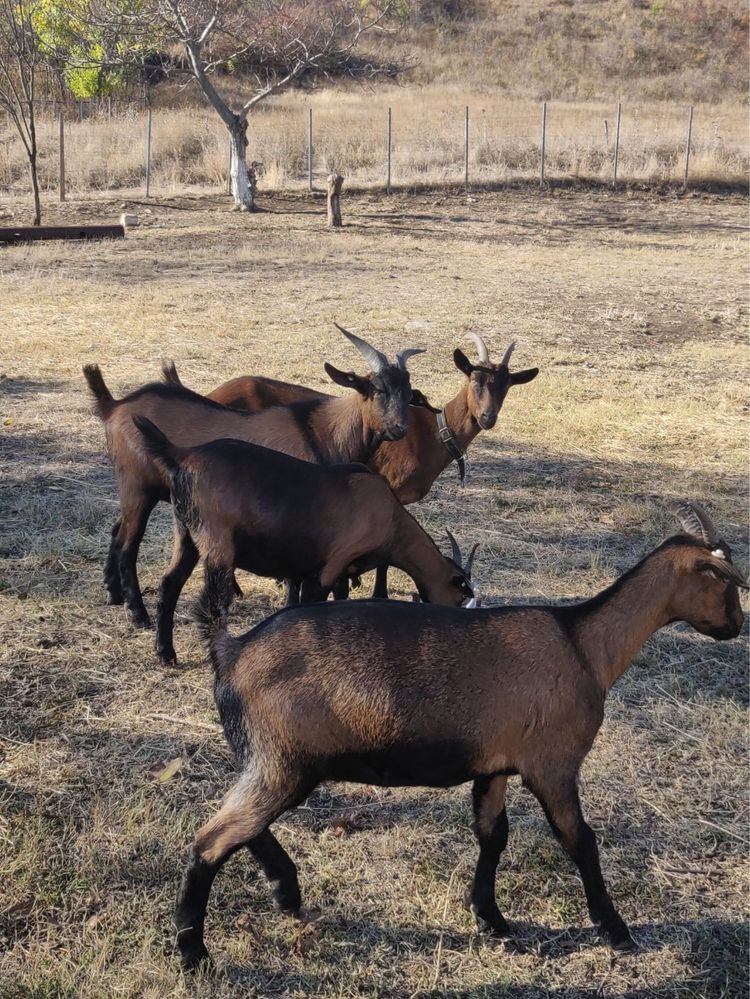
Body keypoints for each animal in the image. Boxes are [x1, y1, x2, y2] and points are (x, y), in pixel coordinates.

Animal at [83, 324, 424, 628]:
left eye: (408, 392)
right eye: (377, 389)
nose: (400, 428)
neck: (324, 434)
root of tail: (114, 406)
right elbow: (295, 576)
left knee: (117, 531)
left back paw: (113, 593)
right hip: (137, 488)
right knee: (128, 544)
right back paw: (137, 613)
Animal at [135, 418, 476, 668]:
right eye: (460, 597)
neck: (389, 516)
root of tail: (183, 456)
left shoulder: (340, 572)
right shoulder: (331, 565)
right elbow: (311, 602)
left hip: (186, 536)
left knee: (170, 584)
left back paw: (165, 654)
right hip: (218, 544)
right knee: (213, 604)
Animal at [172, 504, 748, 972]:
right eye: (725, 583)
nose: (736, 626)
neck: (583, 644)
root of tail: (230, 648)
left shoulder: (495, 765)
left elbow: (492, 835)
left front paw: (490, 916)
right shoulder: (553, 765)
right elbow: (579, 840)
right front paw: (616, 930)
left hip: (274, 761)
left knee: (243, 825)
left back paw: (285, 891)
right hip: (284, 760)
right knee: (213, 838)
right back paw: (193, 951)